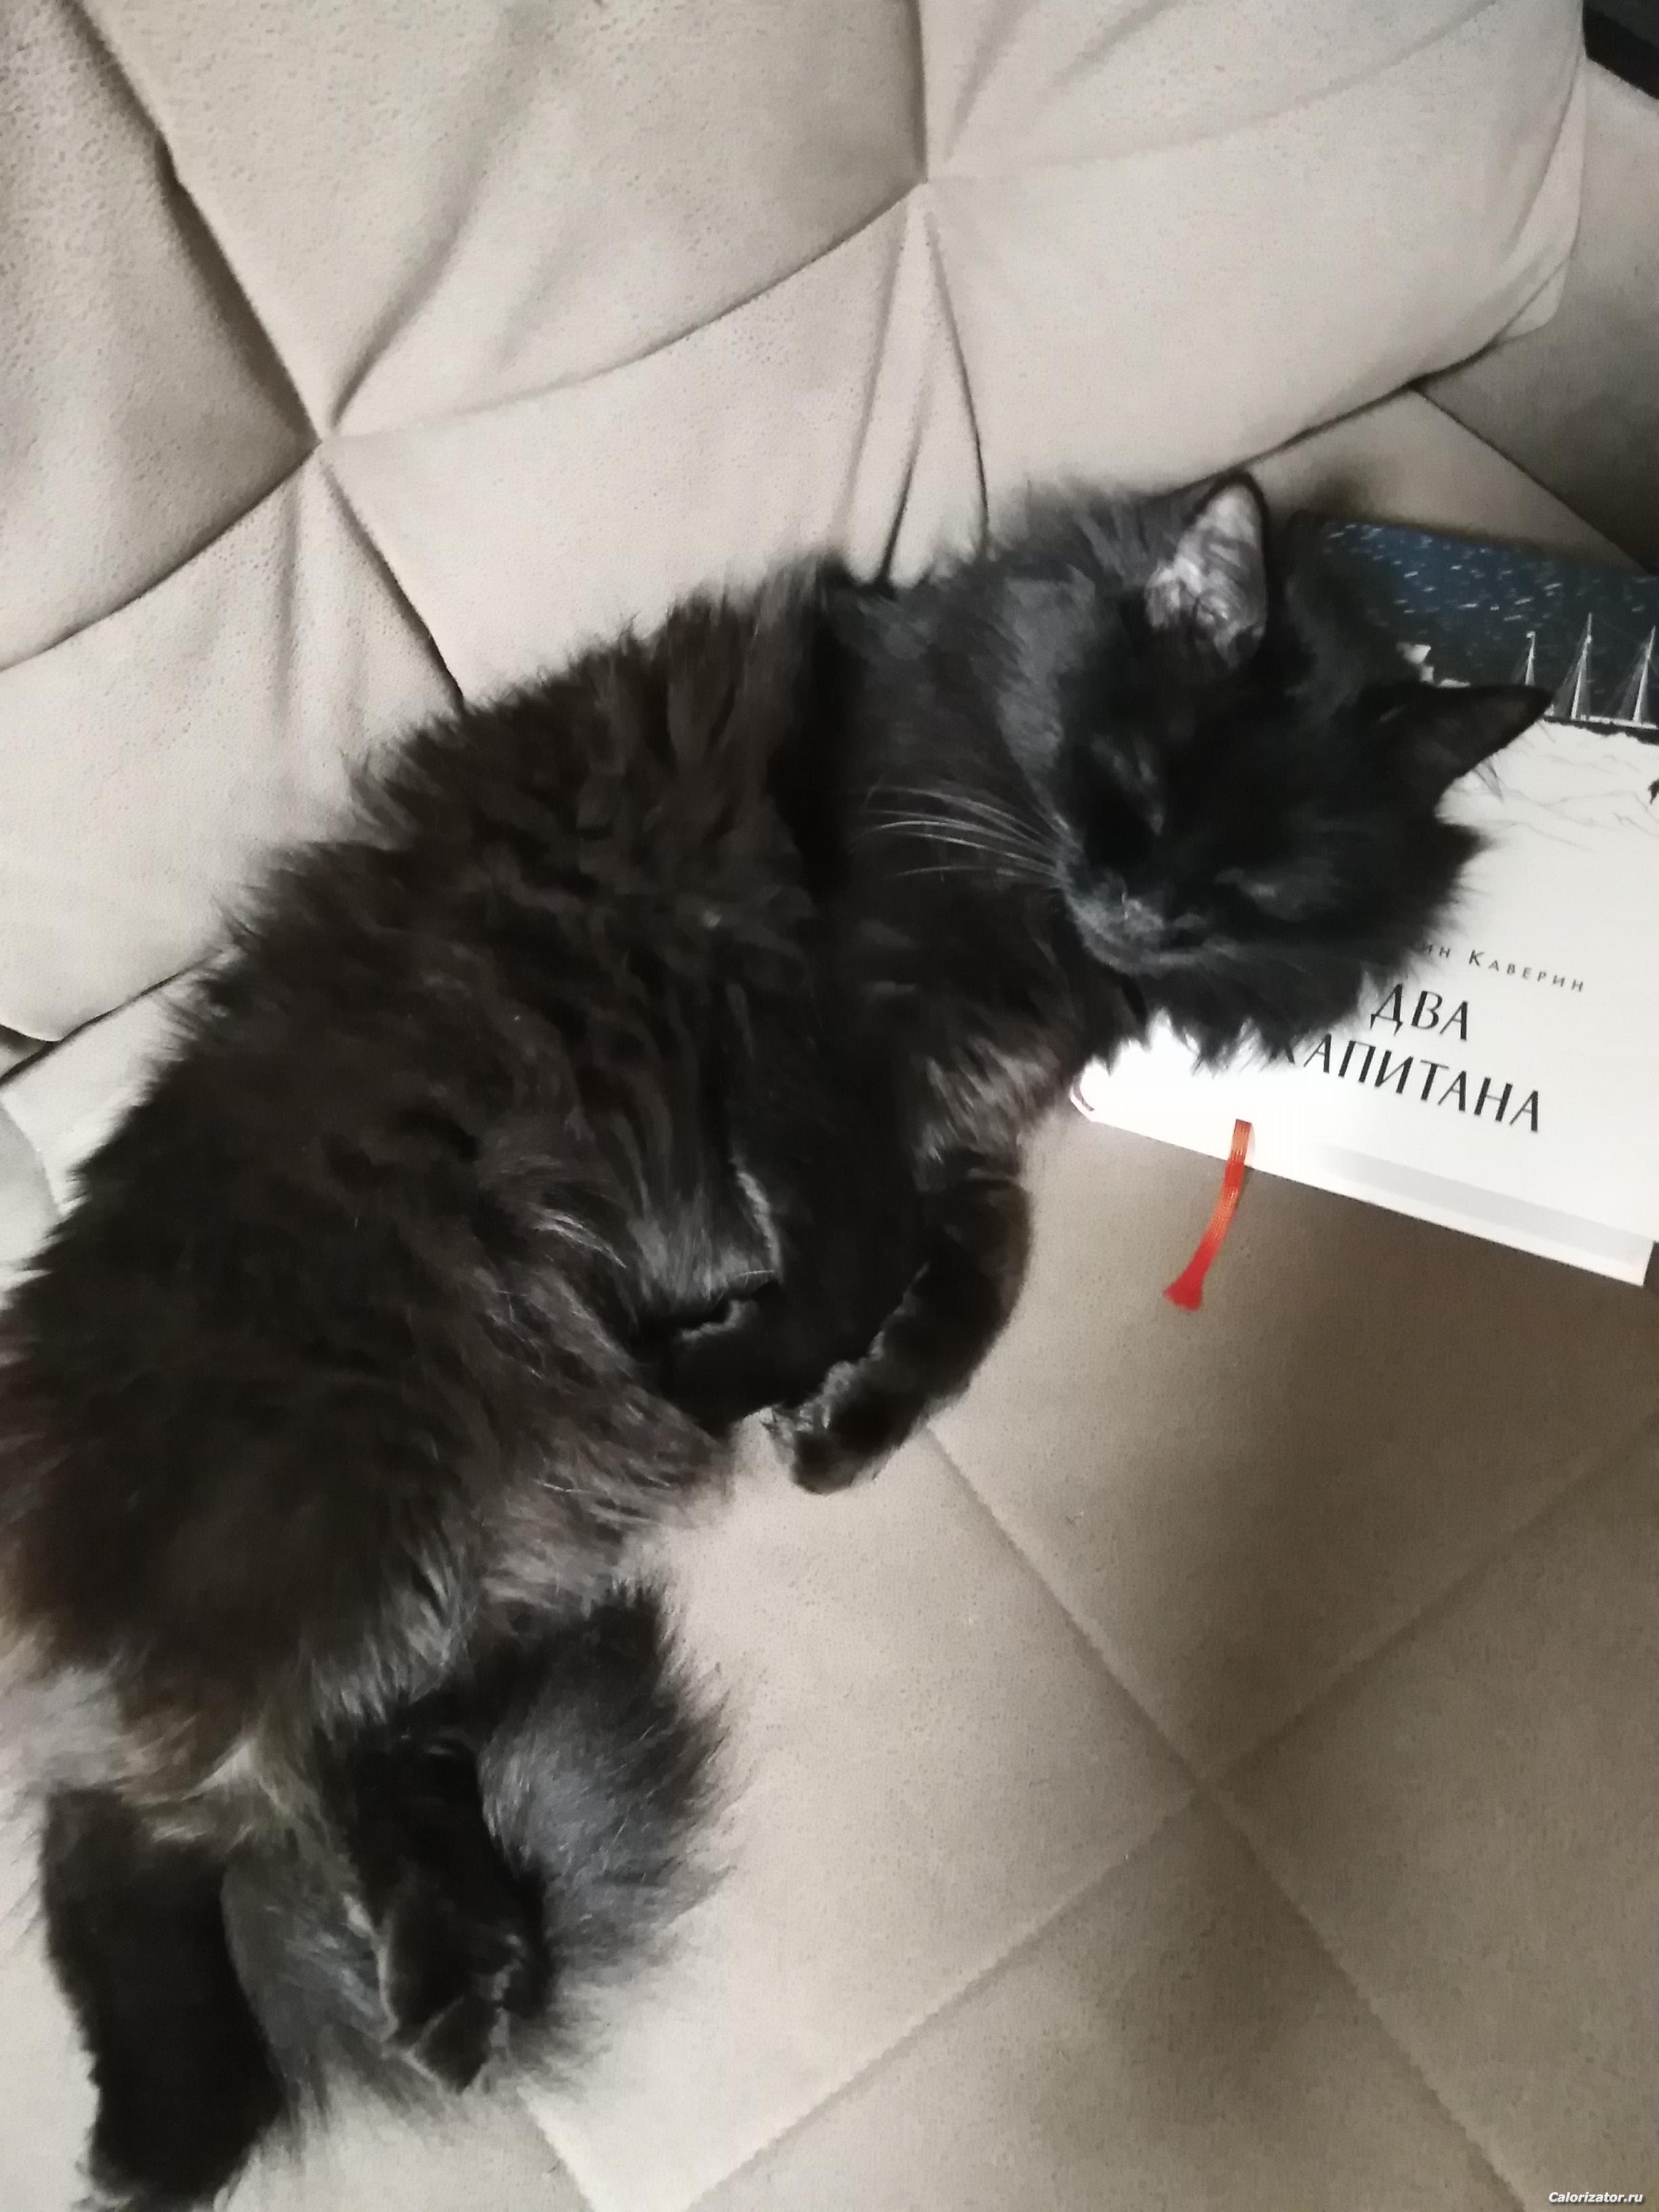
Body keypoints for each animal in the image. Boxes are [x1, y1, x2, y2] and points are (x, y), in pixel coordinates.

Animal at [0, 473, 1544, 2209]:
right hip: (355, 1486)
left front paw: (847, 1426)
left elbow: (974, 1272)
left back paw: (459, 1981)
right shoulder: (830, 1035)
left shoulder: (954, 1125)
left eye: (1259, 886)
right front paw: (737, 1376)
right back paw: (170, 2127)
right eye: (1138, 783)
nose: (1137, 908)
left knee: (349, 1767)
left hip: (450, 1558)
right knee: (127, 1817)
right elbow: (857, 1256)